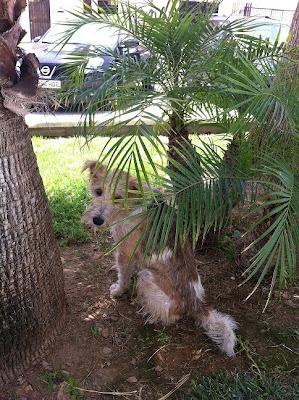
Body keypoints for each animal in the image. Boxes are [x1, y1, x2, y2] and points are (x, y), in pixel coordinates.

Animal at [83, 159, 238, 356]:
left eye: (118, 197)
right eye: (98, 191)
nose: (96, 220)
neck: (133, 203)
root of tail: (195, 303)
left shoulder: (125, 252)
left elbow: (123, 275)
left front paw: (118, 291)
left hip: (147, 277)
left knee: (171, 317)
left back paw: (149, 314)